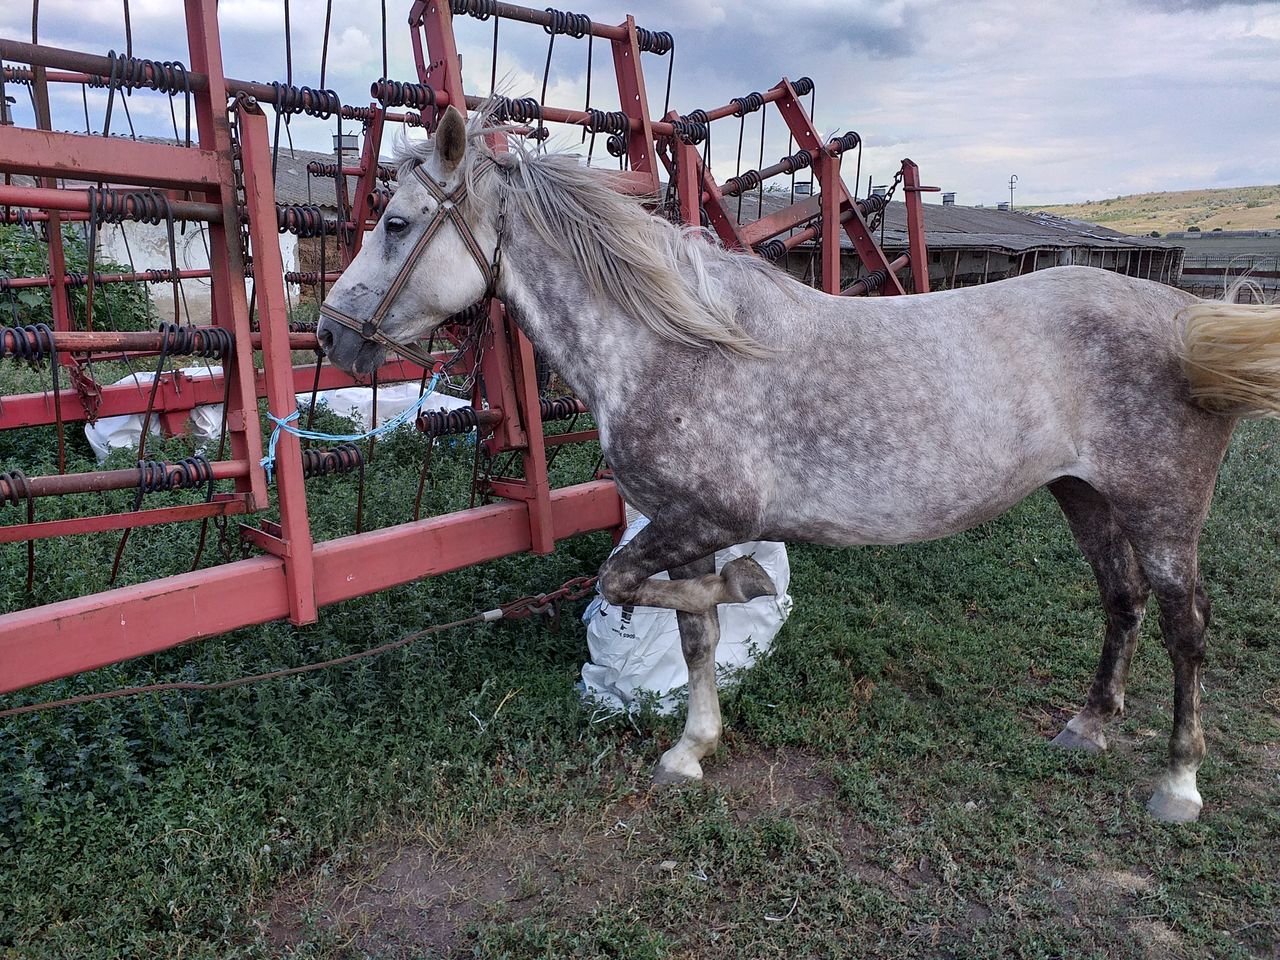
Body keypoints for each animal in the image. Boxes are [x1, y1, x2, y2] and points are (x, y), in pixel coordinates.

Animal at [317, 106, 1280, 829]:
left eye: (396, 224)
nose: (330, 333)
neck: (672, 345)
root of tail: (1186, 319)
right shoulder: (684, 528)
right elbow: (693, 630)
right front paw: (691, 747)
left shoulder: (705, 518)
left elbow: (628, 582)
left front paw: (751, 589)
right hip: (1084, 495)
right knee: (1120, 601)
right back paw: (1088, 725)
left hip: (1163, 513)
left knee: (1184, 626)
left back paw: (1178, 784)